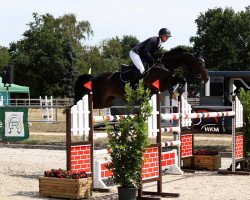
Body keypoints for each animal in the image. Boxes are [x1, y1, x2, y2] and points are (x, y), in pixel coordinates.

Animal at [74, 47, 209, 108]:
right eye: (200, 63)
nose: (206, 78)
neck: (165, 64)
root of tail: (93, 77)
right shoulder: (161, 83)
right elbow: (178, 79)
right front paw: (177, 93)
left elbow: (181, 79)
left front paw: (177, 93)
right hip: (98, 100)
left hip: (106, 102)